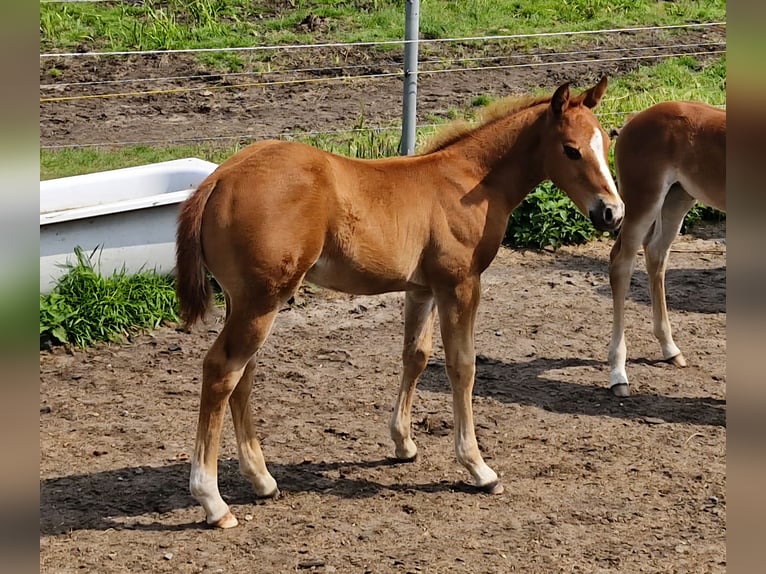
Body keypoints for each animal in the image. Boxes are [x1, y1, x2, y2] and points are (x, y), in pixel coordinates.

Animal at [175, 77, 624, 528]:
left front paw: (403, 443)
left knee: (242, 376)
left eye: (606, 141)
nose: (613, 213)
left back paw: (263, 480)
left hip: (245, 301)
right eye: (571, 149)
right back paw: (213, 502)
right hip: (262, 302)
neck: (471, 181)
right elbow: (462, 366)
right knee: (222, 371)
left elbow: (416, 356)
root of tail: (219, 179)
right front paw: (478, 468)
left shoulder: (421, 288)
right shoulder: (460, 285)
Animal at [607, 101, 726, 397]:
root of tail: (633, 119)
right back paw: (618, 374)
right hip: (643, 201)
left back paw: (670, 349)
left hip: (677, 198)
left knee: (656, 253)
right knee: (621, 264)